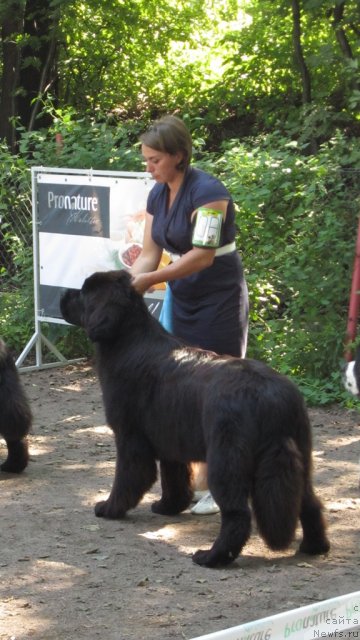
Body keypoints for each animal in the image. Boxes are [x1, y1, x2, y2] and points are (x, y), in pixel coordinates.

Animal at [60, 268, 330, 564]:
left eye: (84, 293)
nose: (62, 293)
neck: (127, 340)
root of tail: (272, 396)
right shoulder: (170, 439)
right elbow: (174, 478)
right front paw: (168, 506)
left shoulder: (130, 436)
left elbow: (128, 478)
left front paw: (109, 508)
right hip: (301, 451)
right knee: (310, 502)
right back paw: (314, 546)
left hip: (226, 459)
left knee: (238, 513)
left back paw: (212, 557)